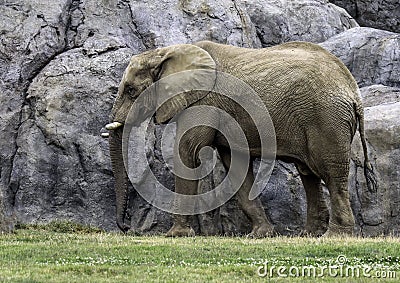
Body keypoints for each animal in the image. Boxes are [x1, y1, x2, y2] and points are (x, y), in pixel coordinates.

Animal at [103, 41, 376, 237]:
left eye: (131, 90)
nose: (126, 229)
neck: (167, 52)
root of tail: (353, 91)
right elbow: (236, 166)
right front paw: (260, 235)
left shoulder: (204, 101)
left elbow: (187, 152)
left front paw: (175, 235)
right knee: (308, 173)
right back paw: (308, 235)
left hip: (326, 118)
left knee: (331, 173)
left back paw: (334, 236)